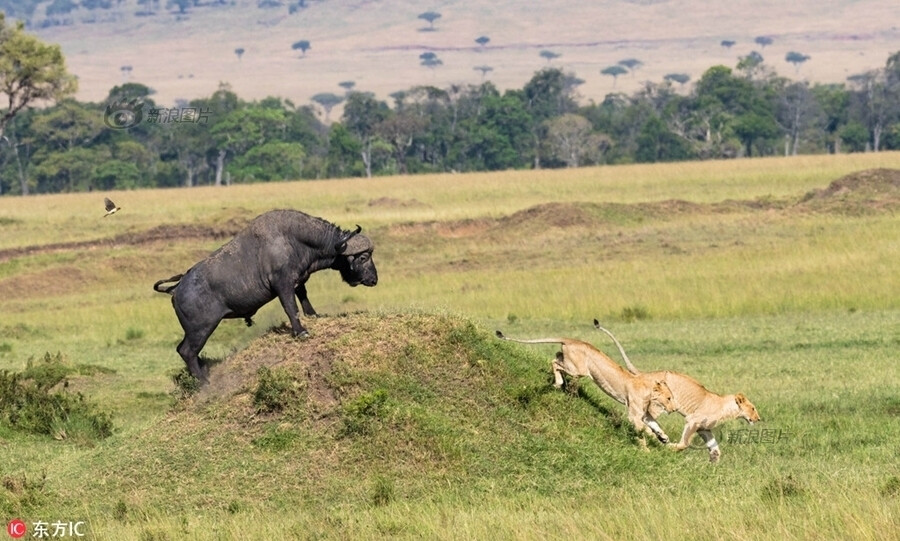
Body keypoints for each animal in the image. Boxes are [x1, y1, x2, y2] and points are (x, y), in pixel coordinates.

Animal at [154, 209, 376, 382]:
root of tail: (177, 289)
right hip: (201, 329)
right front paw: (301, 331)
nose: (374, 280)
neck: (295, 239)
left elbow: (303, 296)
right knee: (187, 352)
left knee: (184, 350)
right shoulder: (282, 284)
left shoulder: (298, 280)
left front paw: (313, 315)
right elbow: (291, 307)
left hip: (193, 331)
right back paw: (205, 382)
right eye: (363, 257)